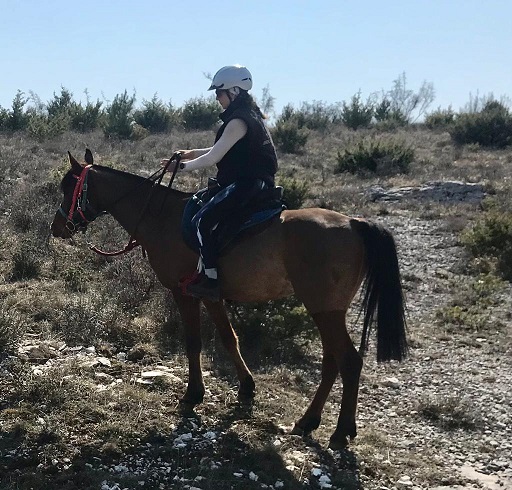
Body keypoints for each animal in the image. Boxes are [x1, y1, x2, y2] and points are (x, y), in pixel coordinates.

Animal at [50, 150, 406, 452]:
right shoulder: (210, 295)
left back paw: (341, 431)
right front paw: (246, 389)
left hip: (325, 310)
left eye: (69, 187)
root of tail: (354, 223)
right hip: (328, 311)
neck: (161, 216)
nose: (57, 227)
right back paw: (308, 421)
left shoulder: (182, 293)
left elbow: (193, 342)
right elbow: (228, 338)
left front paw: (193, 394)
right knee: (332, 361)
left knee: (349, 361)